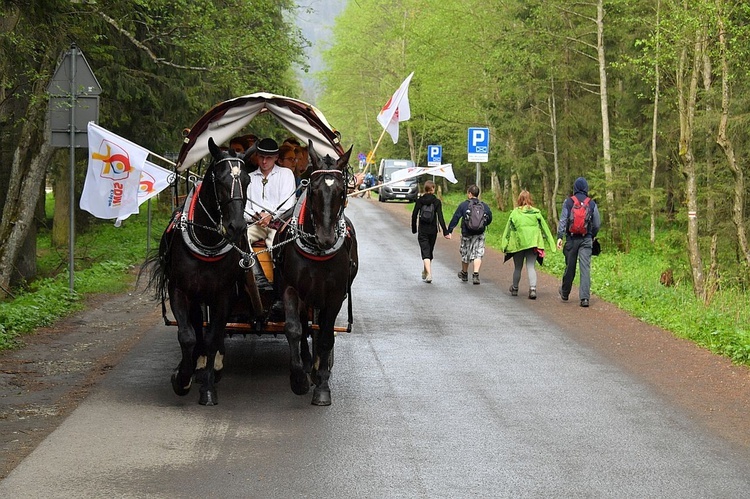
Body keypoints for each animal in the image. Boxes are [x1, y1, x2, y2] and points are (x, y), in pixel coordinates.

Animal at [146, 137, 253, 406]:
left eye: (247, 180)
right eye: (220, 179)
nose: (236, 226)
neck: (207, 240)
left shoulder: (223, 294)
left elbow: (214, 336)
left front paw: (208, 387)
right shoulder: (179, 290)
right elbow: (187, 335)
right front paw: (181, 378)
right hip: (195, 296)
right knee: (196, 327)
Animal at [274, 142, 360, 406]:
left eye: (342, 192)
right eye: (313, 190)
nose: (326, 238)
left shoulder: (335, 296)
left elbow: (325, 336)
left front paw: (322, 385)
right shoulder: (291, 289)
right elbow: (293, 329)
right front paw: (298, 379)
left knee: (319, 327)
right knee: (304, 326)